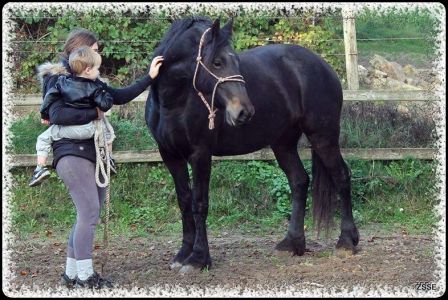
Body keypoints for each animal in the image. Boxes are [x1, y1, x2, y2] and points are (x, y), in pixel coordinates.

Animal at [145, 17, 358, 274]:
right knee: (299, 181)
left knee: (341, 177)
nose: (244, 111)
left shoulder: (200, 154)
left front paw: (198, 258)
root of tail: (323, 66)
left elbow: (199, 203)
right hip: (283, 143)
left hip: (323, 136)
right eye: (217, 62)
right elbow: (184, 202)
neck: (175, 102)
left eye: (236, 61)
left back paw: (346, 241)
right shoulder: (170, 156)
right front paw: (183, 254)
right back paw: (291, 243)